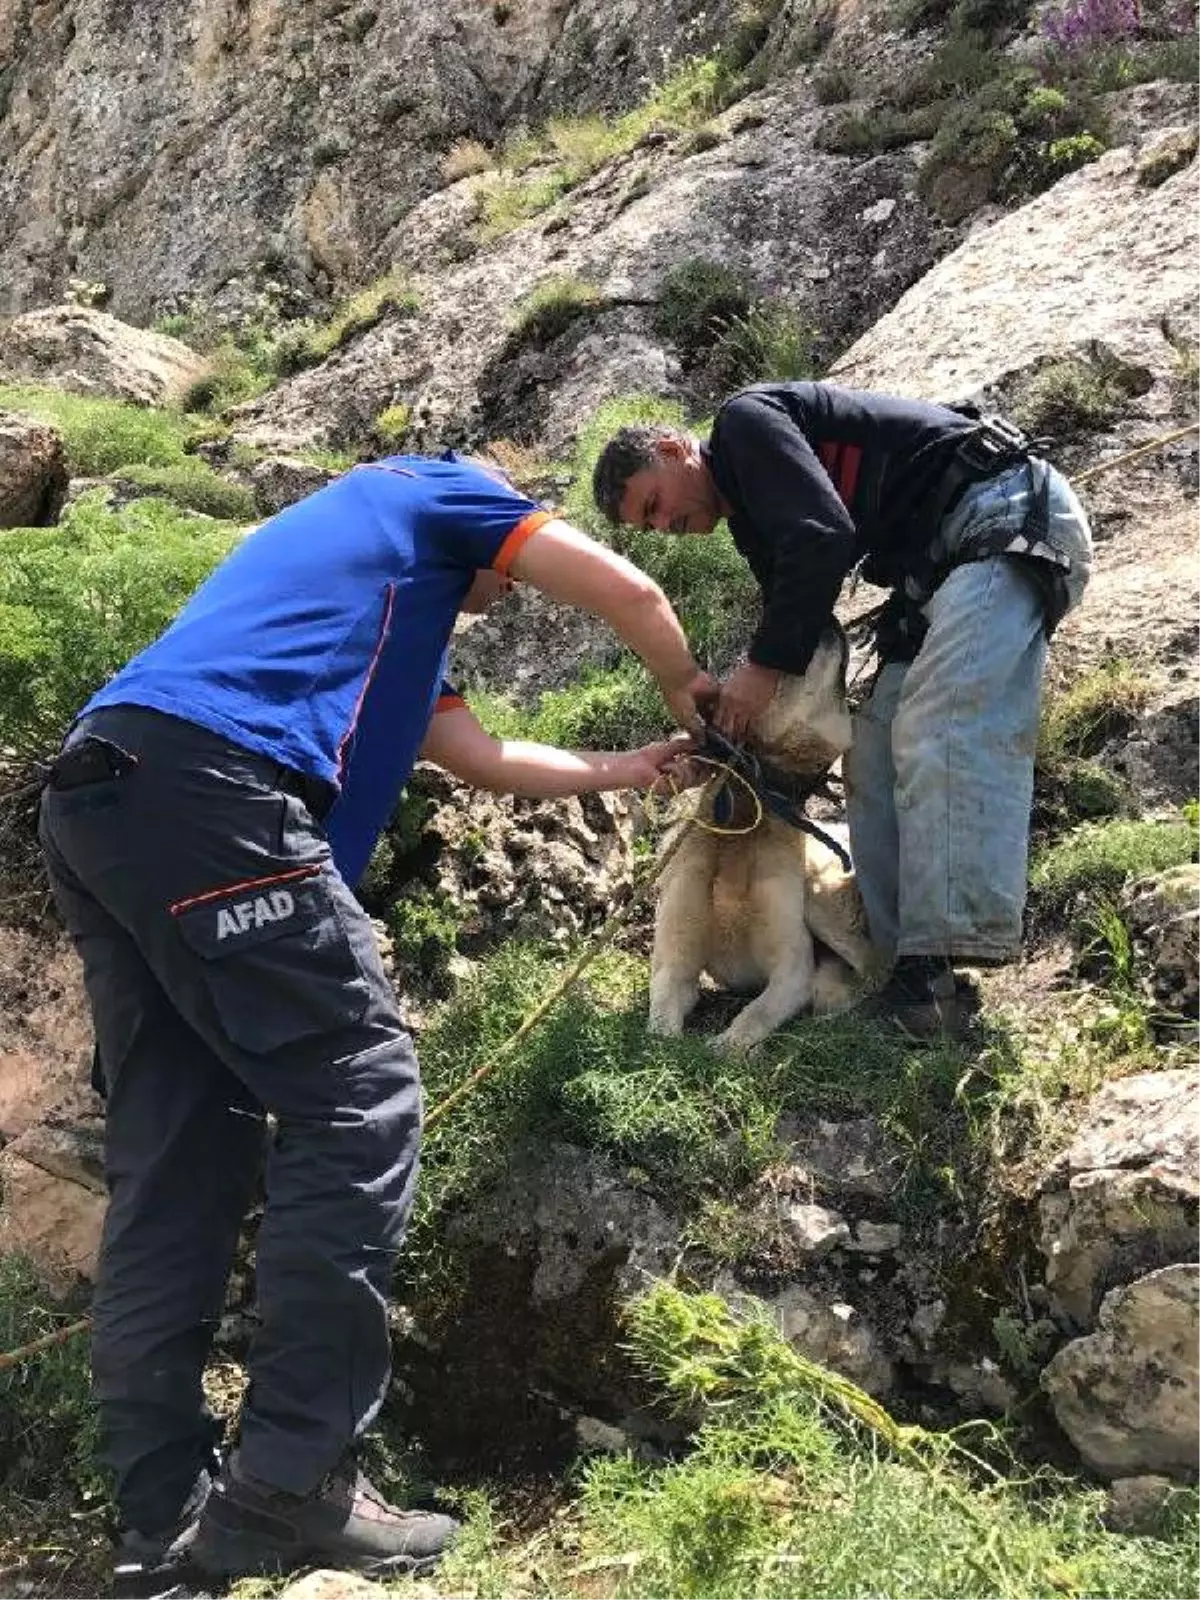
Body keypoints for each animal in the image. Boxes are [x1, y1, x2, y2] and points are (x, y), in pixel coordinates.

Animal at [652, 630, 876, 1056]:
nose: (827, 622)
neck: (742, 818)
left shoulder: (791, 972)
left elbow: (752, 1016)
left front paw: (726, 1048)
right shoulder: (673, 967)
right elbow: (658, 1032)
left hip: (823, 899)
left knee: (876, 970)